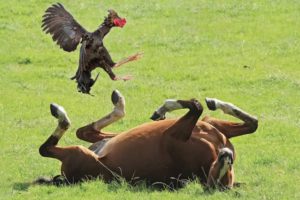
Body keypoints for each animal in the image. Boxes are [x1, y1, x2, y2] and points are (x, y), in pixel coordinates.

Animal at [37, 90, 258, 189]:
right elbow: (253, 123)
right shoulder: (207, 125)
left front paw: (164, 107)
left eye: (225, 174)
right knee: (86, 132)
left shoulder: (174, 134)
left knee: (48, 147)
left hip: (78, 153)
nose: (225, 156)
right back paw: (118, 103)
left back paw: (61, 114)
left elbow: (196, 106)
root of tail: (67, 179)